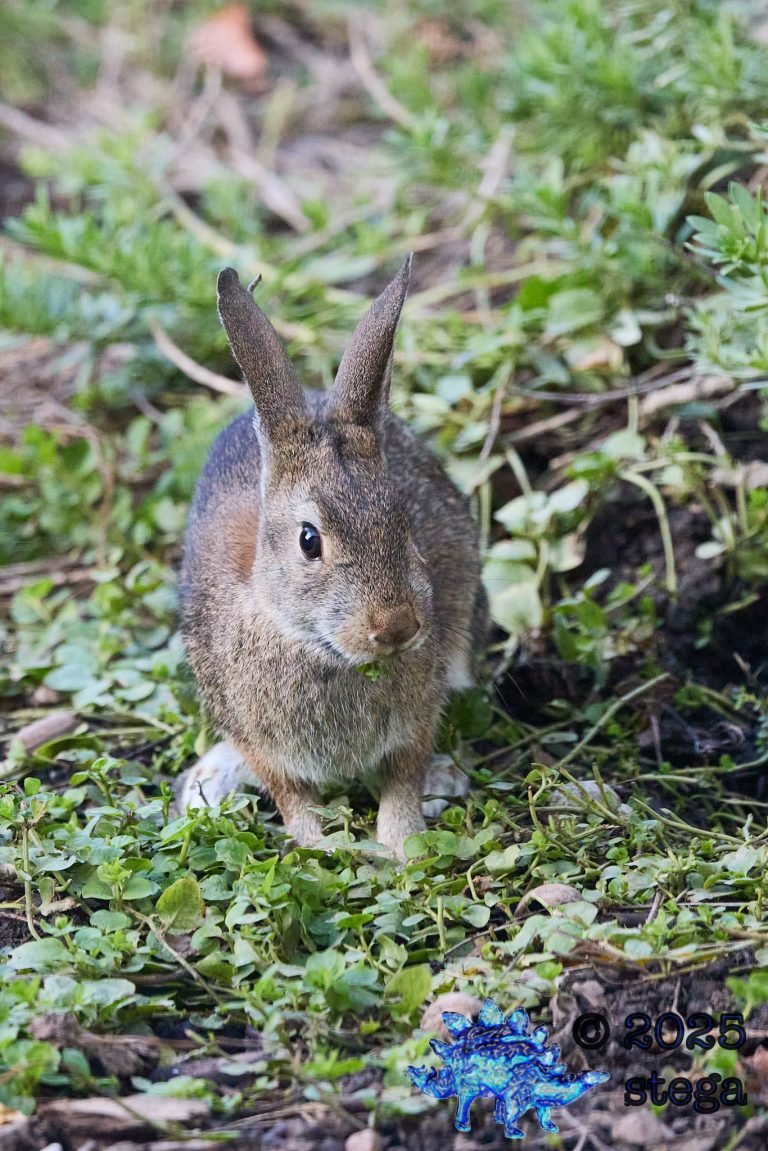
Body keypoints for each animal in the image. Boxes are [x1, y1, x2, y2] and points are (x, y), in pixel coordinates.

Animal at [179, 256, 488, 859]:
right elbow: (293, 799)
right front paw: (323, 849)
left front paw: (400, 844)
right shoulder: (262, 742)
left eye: (402, 519)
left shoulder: (416, 721)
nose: (396, 627)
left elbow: (402, 780)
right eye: (309, 540)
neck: (323, 650)